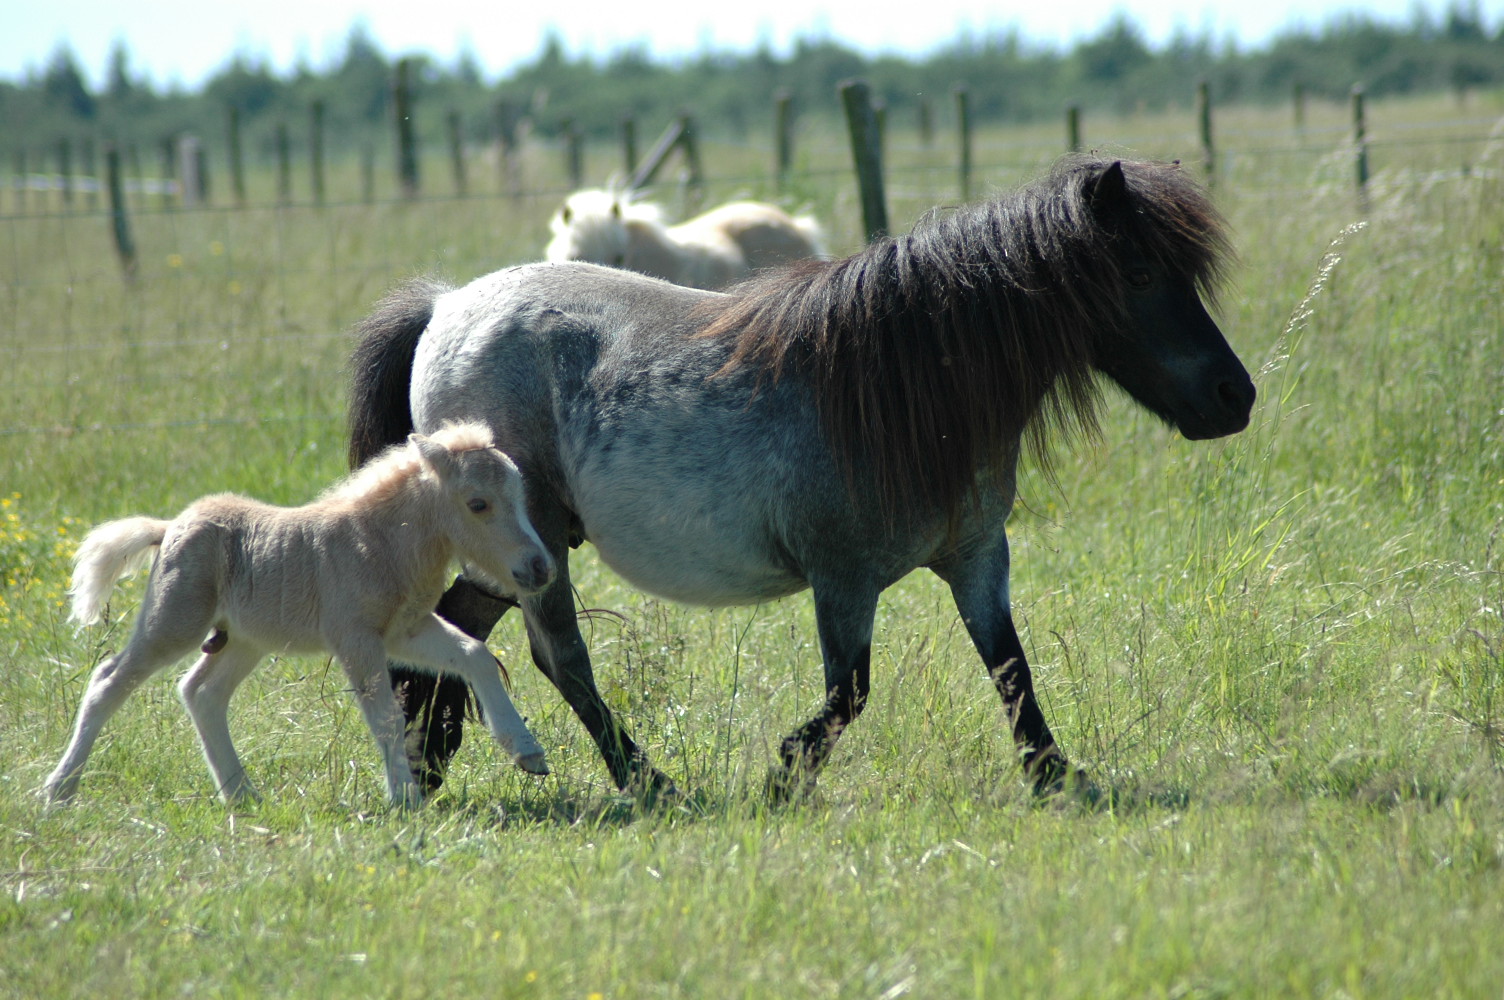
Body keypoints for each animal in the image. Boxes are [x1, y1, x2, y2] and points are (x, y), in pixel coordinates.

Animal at [43, 418, 556, 806]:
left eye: (520, 493)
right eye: (478, 504)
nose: (540, 567)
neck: (380, 541)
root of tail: (170, 527)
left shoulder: (404, 631)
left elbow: (474, 654)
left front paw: (528, 752)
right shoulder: (356, 637)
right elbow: (386, 714)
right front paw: (405, 798)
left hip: (244, 639)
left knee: (202, 692)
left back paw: (242, 795)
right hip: (175, 620)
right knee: (109, 681)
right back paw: (59, 790)